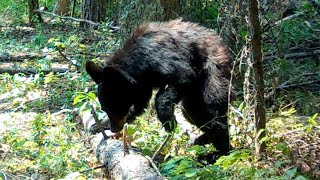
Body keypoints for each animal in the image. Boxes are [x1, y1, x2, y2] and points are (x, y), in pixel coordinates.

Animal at [86, 19, 231, 155]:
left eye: (116, 108)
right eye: (105, 109)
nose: (114, 129)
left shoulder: (164, 59)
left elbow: (182, 77)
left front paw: (169, 121)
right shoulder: (142, 85)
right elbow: (139, 106)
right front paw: (99, 125)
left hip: (213, 71)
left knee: (213, 111)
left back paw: (220, 152)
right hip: (194, 96)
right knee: (192, 112)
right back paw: (204, 139)